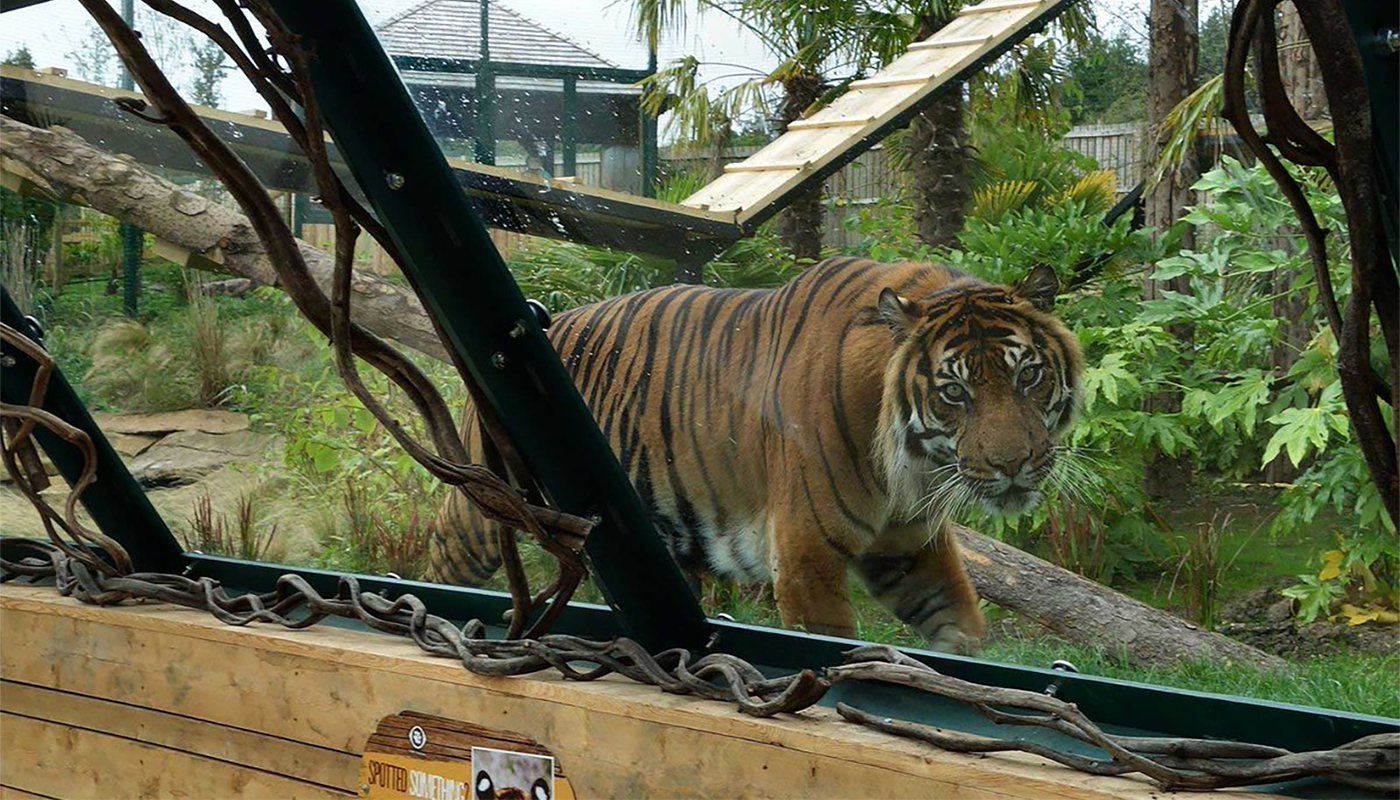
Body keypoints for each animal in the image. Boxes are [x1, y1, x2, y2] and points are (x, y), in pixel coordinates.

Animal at [425, 257, 1080, 658]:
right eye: (955, 392)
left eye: (1027, 376)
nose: (1013, 464)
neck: (913, 467)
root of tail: (547, 318)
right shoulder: (807, 555)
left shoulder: (910, 544)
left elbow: (959, 627)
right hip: (485, 512)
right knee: (444, 552)